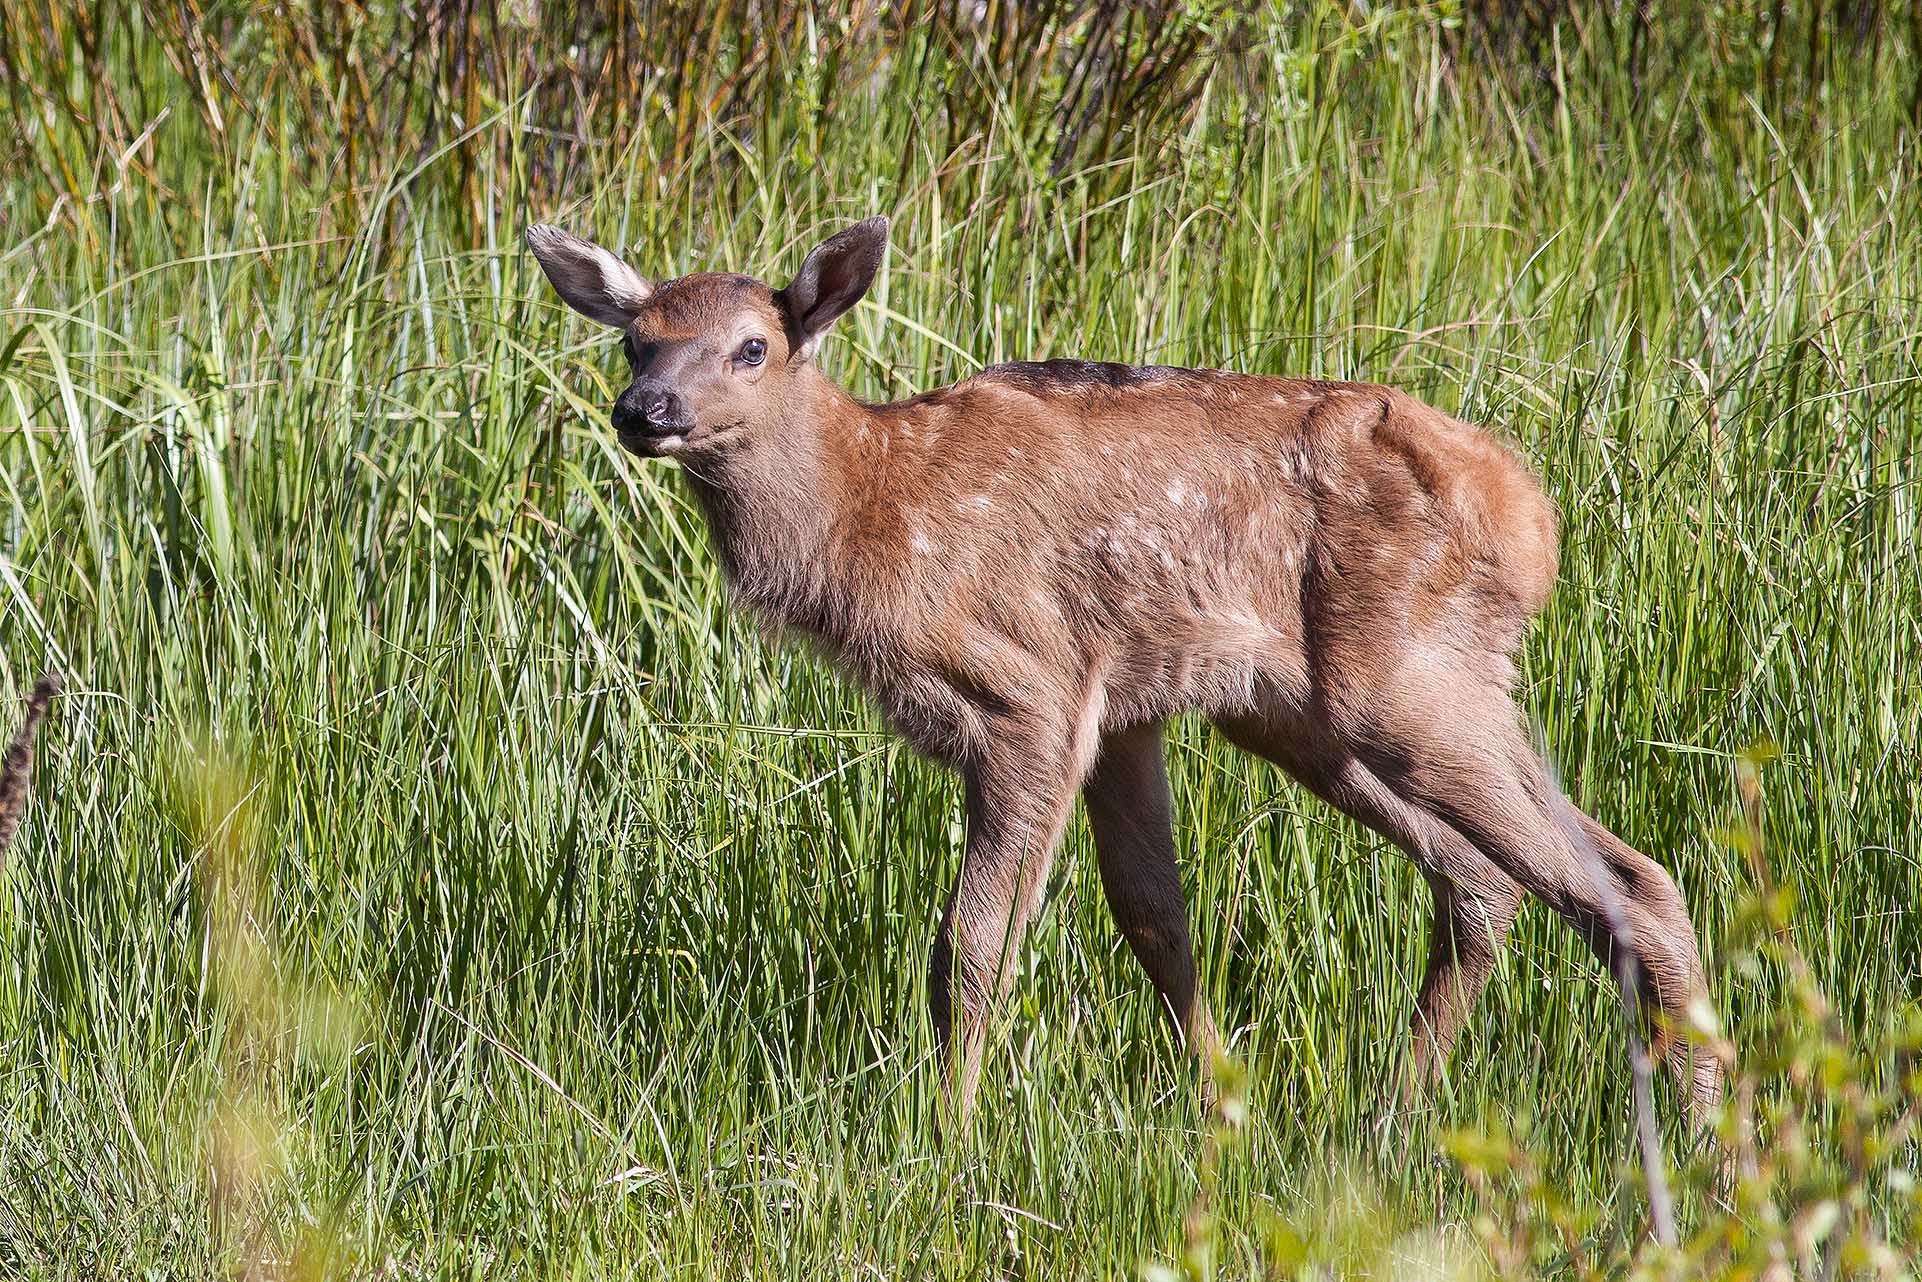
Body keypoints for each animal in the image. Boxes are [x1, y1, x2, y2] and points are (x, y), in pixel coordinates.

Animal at [530, 218, 1729, 1122]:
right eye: (635, 343)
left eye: (749, 347)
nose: (645, 413)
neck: (867, 513)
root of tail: (1535, 520)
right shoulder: (1124, 707)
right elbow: (1154, 916)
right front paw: (1221, 1104)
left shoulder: (1031, 689)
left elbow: (972, 943)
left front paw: (947, 1138)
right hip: (1315, 712)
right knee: (1489, 881)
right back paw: (1395, 1117)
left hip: (1402, 680)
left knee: (1623, 885)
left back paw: (1711, 1145)